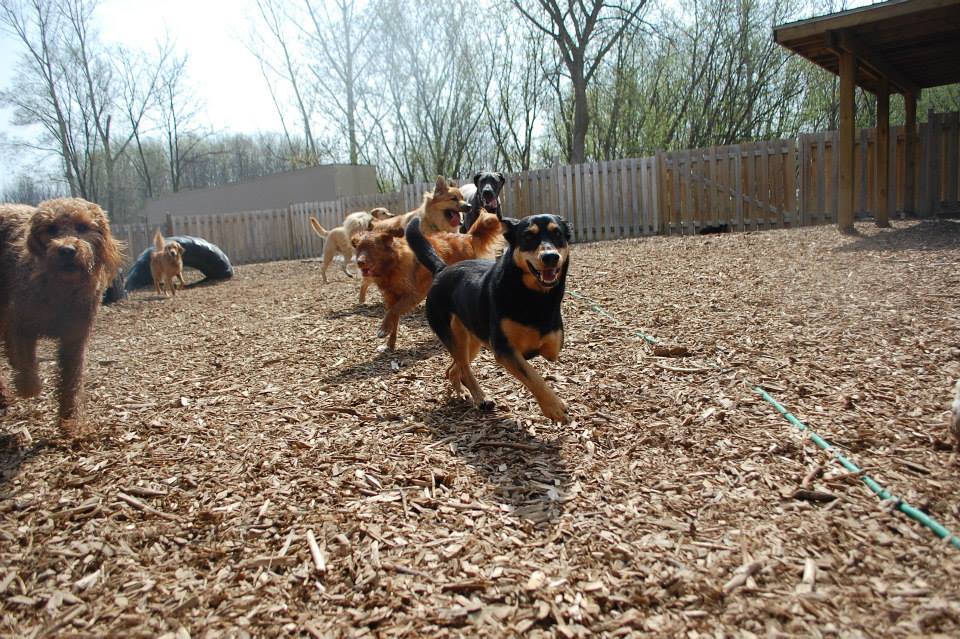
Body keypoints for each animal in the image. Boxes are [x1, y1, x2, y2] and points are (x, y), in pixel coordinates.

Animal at [0, 197, 123, 437]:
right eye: (51, 229)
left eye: (83, 227)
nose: (67, 250)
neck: (62, 289)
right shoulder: (22, 325)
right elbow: (27, 365)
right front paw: (27, 387)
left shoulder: (74, 340)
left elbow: (70, 384)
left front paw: (71, 422)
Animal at [351, 212, 502, 351]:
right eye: (358, 249)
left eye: (372, 249)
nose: (359, 262)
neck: (392, 265)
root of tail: (467, 237)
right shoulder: (391, 298)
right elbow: (394, 320)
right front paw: (390, 344)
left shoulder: (413, 295)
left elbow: (393, 311)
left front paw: (383, 330)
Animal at [406, 212, 571, 423]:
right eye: (527, 237)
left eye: (558, 234)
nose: (550, 256)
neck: (532, 295)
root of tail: (442, 270)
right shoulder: (504, 350)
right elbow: (532, 375)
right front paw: (554, 407)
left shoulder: (552, 346)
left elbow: (548, 346)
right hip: (452, 336)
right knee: (465, 369)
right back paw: (480, 397)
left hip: (472, 343)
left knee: (454, 368)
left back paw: (462, 393)